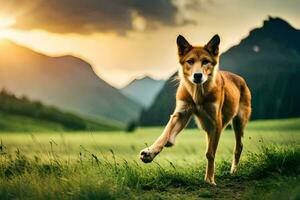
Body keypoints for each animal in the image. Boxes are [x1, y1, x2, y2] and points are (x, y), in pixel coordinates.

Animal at [139, 34, 252, 184]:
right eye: (190, 61)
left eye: (205, 61)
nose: (197, 75)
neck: (197, 93)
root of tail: (240, 79)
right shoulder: (180, 112)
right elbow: (164, 134)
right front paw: (150, 153)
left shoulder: (216, 122)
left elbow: (210, 154)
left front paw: (209, 179)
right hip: (203, 125)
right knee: (173, 135)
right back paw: (170, 141)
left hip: (238, 122)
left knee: (238, 147)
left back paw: (233, 171)